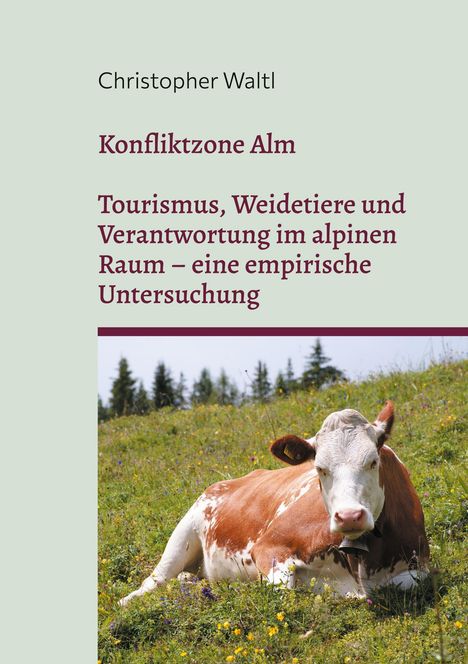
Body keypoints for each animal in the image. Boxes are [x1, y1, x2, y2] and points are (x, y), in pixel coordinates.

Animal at [119, 401, 429, 606]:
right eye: (320, 468)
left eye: (373, 461)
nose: (349, 516)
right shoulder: (268, 547)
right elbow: (283, 590)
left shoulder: (420, 566)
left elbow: (411, 583)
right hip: (183, 534)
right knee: (153, 581)